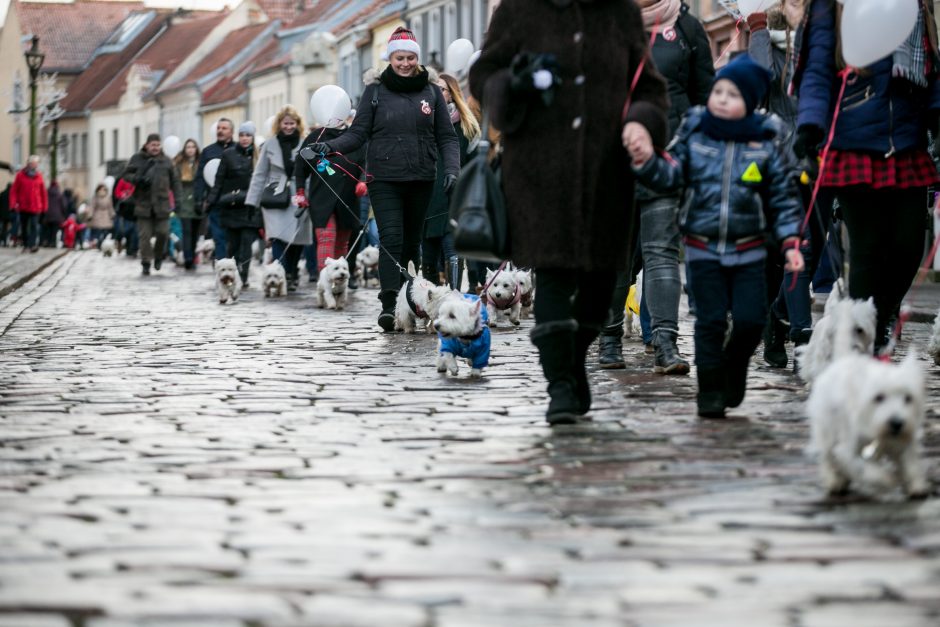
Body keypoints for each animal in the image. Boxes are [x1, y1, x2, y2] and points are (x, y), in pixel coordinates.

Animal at [808, 354, 932, 500]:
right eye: (878, 397)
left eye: (908, 398)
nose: (896, 423)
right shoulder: (848, 451)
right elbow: (866, 469)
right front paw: (890, 479)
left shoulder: (903, 441)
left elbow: (910, 463)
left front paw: (916, 486)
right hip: (827, 431)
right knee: (827, 456)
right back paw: (834, 482)